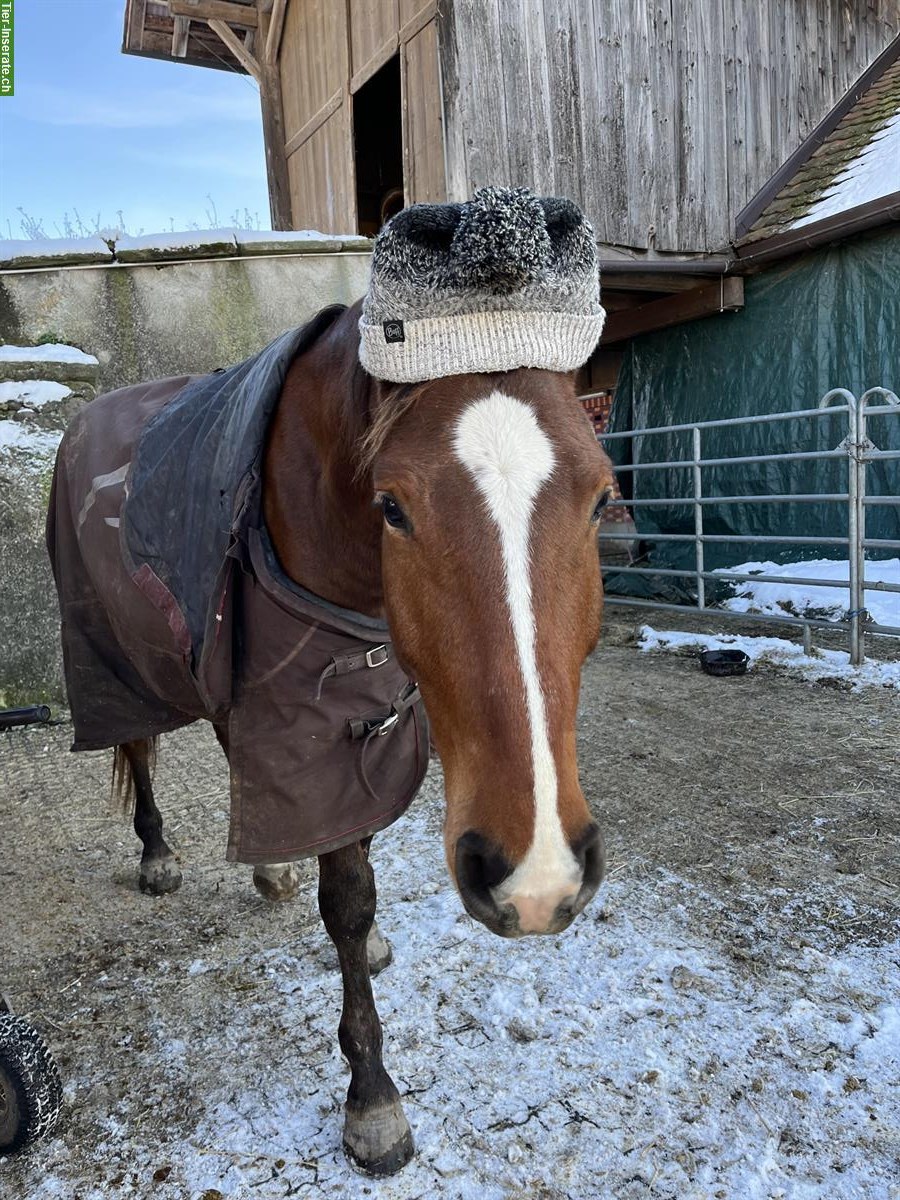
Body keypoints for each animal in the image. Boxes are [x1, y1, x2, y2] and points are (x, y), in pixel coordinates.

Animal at [45, 297, 619, 1171]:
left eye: (601, 497)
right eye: (394, 508)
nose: (537, 876)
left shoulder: (364, 719)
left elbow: (359, 844)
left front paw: (366, 934)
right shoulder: (309, 726)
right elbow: (346, 896)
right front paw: (373, 1098)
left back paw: (272, 868)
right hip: (112, 651)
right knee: (139, 745)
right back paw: (157, 854)